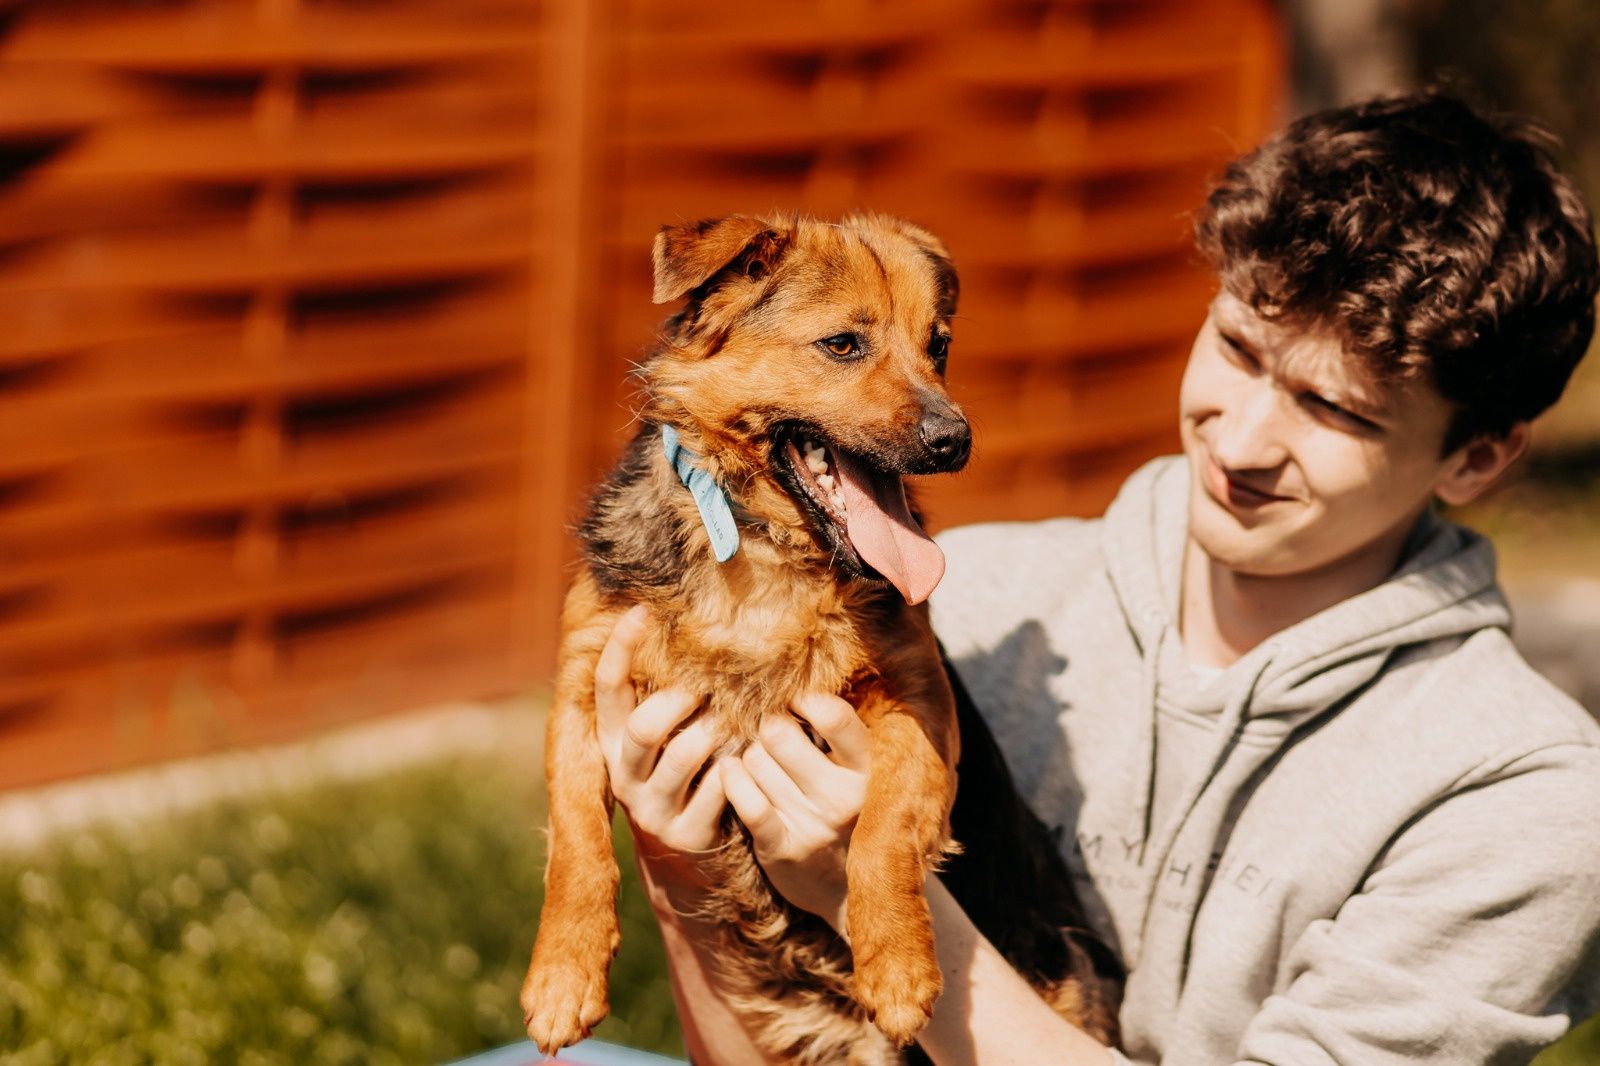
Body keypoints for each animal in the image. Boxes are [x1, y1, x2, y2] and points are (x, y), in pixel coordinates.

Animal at [518, 211, 1120, 1056]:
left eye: (938, 346)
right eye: (843, 345)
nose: (956, 440)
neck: (766, 550)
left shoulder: (920, 705)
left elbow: (883, 833)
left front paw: (898, 967)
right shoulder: (581, 691)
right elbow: (575, 843)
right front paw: (563, 977)